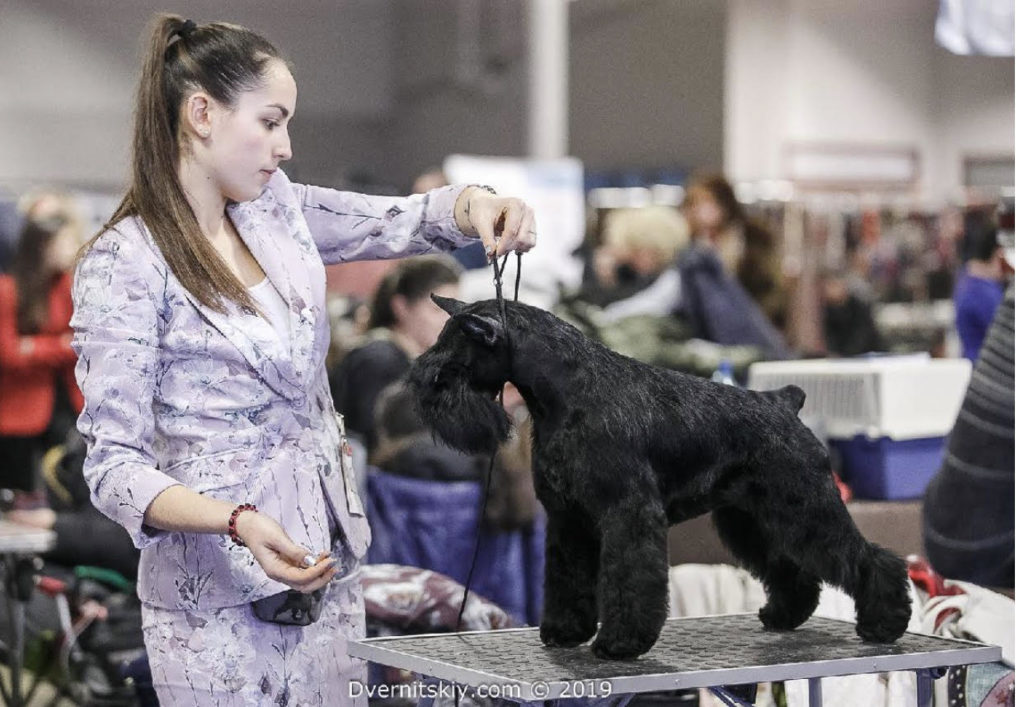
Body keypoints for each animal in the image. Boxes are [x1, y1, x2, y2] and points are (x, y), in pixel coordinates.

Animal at [407, 295, 913, 659]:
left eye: (453, 357)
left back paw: (883, 624)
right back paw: (783, 615)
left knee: (870, 558)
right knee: (789, 568)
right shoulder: (568, 520)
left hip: (807, 508)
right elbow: (567, 578)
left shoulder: (628, 514)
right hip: (752, 518)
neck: (567, 395)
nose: (418, 385)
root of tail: (783, 400)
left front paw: (619, 643)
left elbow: (627, 581)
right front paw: (565, 631)